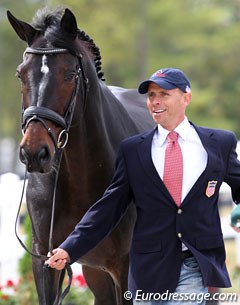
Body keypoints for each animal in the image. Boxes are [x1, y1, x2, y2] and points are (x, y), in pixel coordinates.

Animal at [7, 7, 154, 304]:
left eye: (69, 74)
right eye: (20, 74)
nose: (34, 153)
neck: (81, 173)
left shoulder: (125, 265)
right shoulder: (46, 260)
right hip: (97, 273)